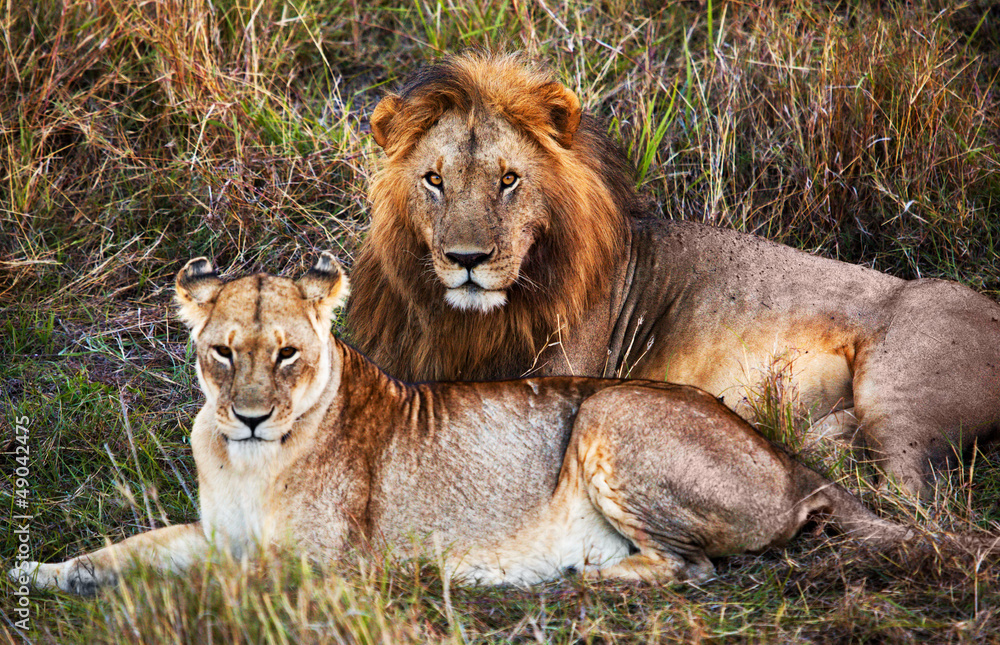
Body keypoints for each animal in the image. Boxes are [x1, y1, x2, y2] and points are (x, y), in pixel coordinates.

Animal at [11, 254, 945, 594]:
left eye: (286, 355)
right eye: (220, 352)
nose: (245, 416)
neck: (246, 461)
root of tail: (794, 465)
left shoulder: (328, 566)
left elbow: (220, 584)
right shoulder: (215, 531)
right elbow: (126, 549)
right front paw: (38, 570)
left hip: (606, 407)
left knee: (694, 567)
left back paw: (569, 574)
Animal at [347, 52, 1000, 496]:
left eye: (509, 180)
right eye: (434, 180)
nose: (466, 260)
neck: (466, 322)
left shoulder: (559, 379)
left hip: (899, 388)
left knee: (908, 496)